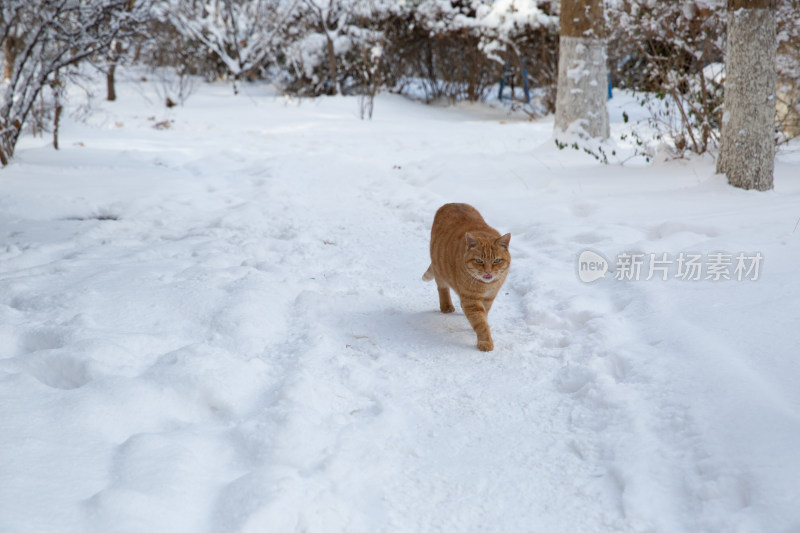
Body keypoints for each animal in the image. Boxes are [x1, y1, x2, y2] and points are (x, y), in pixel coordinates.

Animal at [422, 203, 510, 350]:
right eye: (479, 261)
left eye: (496, 260)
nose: (488, 272)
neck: (486, 285)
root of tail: (451, 203)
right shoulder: (471, 301)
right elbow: (480, 322)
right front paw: (485, 341)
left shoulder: (489, 298)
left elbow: (483, 315)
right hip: (439, 268)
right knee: (442, 287)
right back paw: (446, 306)